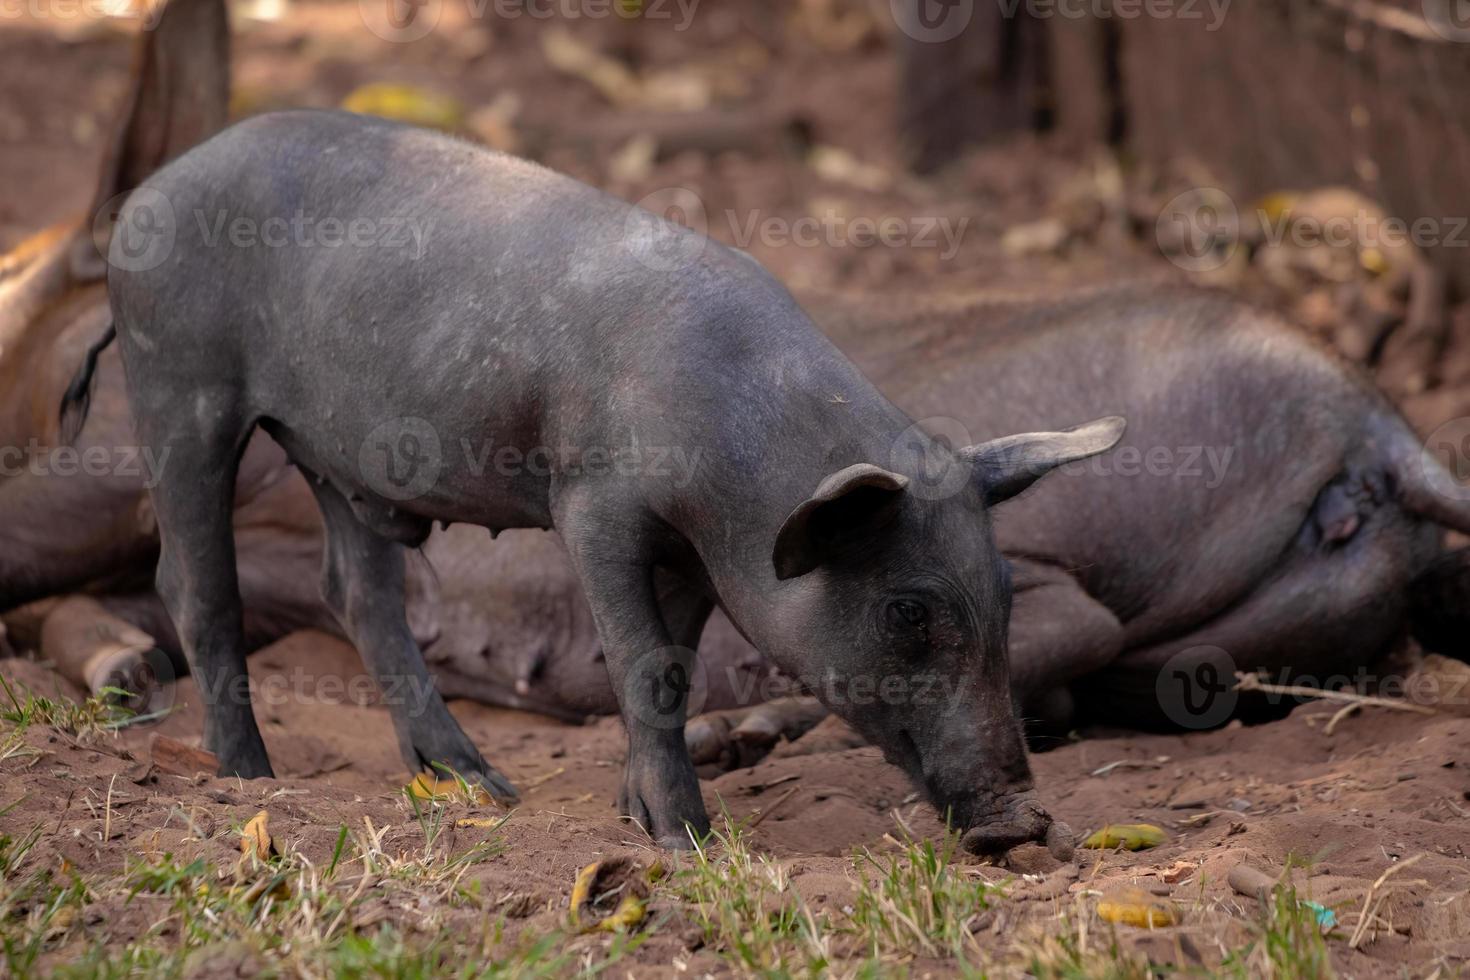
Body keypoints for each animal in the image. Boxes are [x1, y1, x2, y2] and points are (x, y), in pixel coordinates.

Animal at [69, 110, 1117, 852]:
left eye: (1007, 592)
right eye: (909, 611)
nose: (1022, 822)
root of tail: (145, 197)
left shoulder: (697, 555)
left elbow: (680, 664)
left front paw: (636, 820)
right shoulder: (593, 504)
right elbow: (643, 663)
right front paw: (688, 844)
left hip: (333, 453)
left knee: (357, 593)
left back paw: (477, 787)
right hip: (180, 384)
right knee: (195, 582)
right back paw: (252, 780)